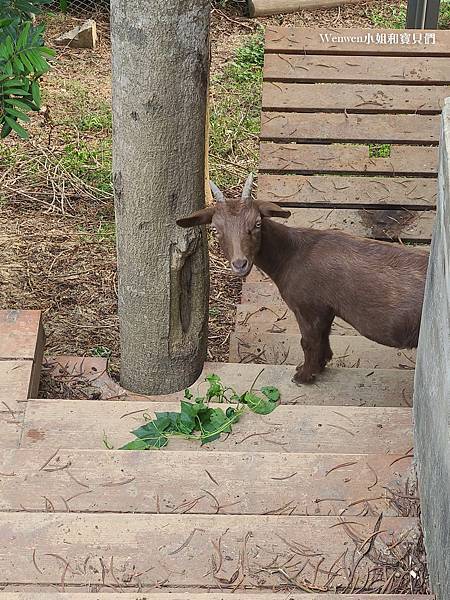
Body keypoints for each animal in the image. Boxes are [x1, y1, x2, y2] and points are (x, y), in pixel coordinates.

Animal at [178, 175, 430, 384]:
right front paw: (321, 365)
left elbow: (308, 341)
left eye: (257, 224)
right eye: (215, 229)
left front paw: (303, 375)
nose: (240, 264)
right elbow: (323, 338)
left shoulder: (308, 305)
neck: (292, 254)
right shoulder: (325, 308)